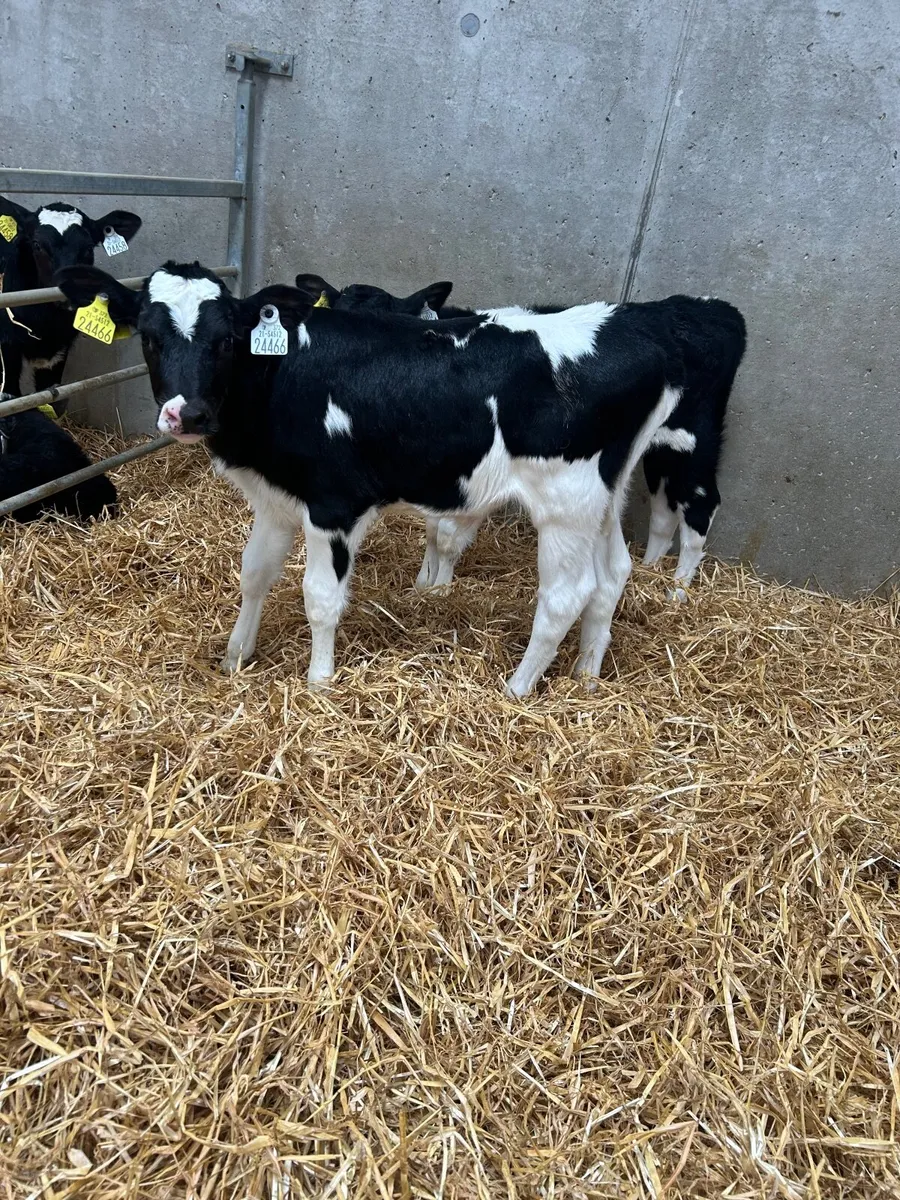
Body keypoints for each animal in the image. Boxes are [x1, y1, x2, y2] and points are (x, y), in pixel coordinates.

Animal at [55, 259, 690, 696]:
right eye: (149, 337)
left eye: (228, 338)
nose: (187, 414)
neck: (281, 376)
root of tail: (640, 336)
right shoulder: (277, 497)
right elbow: (254, 574)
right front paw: (235, 658)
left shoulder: (334, 503)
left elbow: (320, 598)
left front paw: (318, 682)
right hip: (603, 498)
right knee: (612, 576)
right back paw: (586, 676)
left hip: (566, 502)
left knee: (566, 595)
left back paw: (516, 689)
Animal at [301, 275, 747, 594]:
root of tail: (712, 308)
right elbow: (434, 529)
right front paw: (424, 583)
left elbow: (446, 536)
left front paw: (436, 589)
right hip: (660, 449)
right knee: (664, 509)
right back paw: (651, 570)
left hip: (695, 440)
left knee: (701, 506)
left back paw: (677, 592)